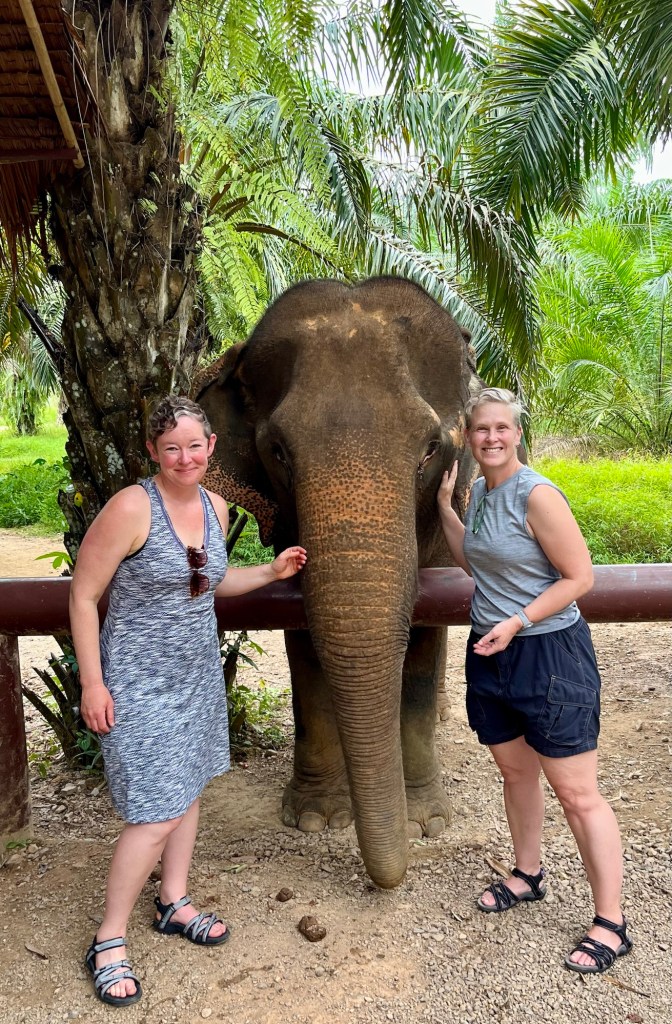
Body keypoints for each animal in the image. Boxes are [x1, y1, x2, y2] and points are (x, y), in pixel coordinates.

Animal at [196, 276, 481, 889]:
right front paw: (316, 818)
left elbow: (424, 642)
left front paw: (425, 822)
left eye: (431, 449)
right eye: (278, 451)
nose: (390, 880)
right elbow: (302, 640)